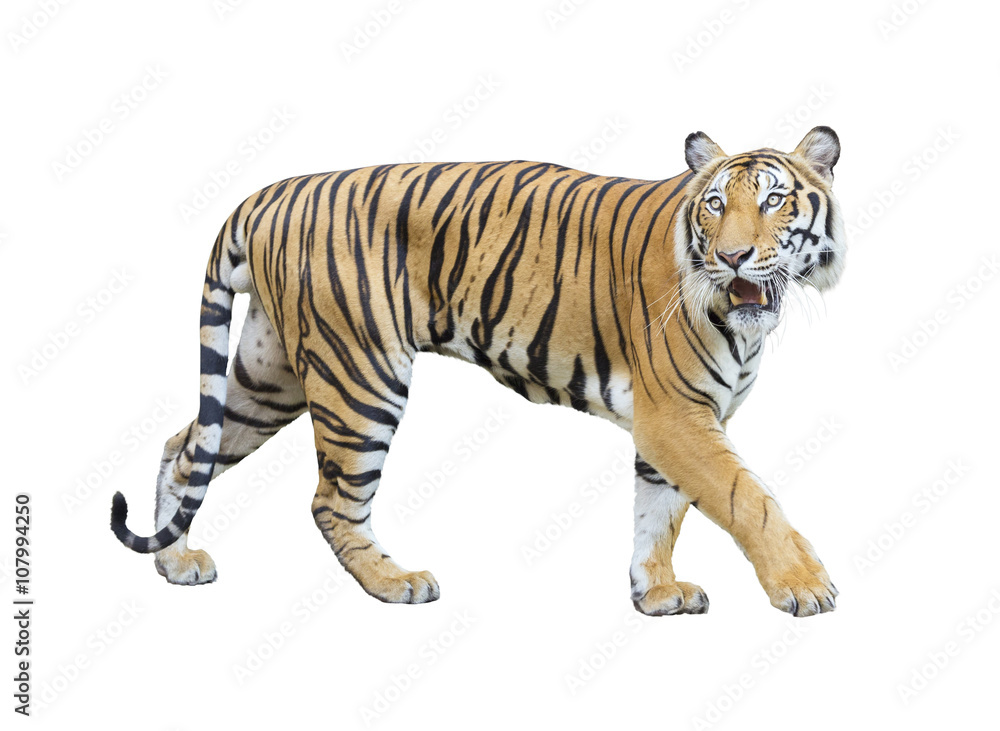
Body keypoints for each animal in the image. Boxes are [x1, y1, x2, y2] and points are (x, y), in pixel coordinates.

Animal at [111, 126, 845, 617]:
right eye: (716, 204)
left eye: (775, 201)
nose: (733, 257)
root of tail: (267, 194)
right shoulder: (677, 414)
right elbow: (746, 497)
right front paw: (805, 585)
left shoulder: (670, 422)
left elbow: (659, 510)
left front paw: (656, 591)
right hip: (361, 375)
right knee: (330, 500)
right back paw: (396, 582)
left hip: (272, 374)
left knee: (185, 446)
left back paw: (175, 562)